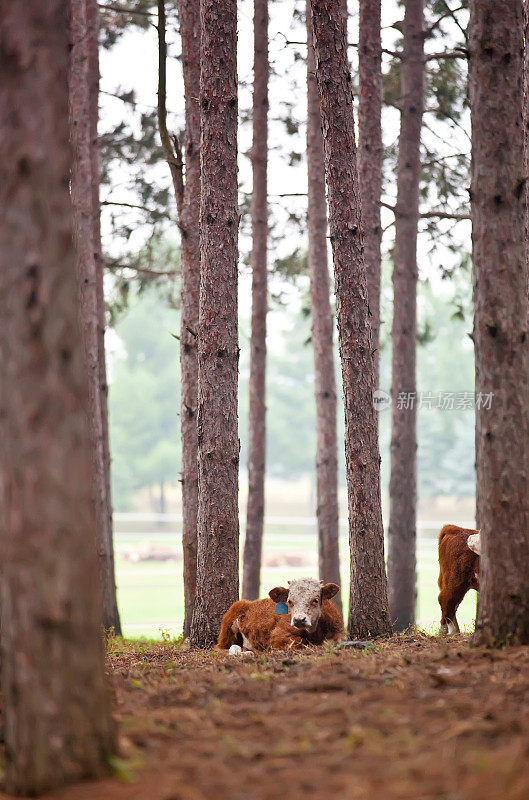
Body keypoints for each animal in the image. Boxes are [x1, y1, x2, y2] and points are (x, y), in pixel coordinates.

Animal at [214, 580, 342, 652]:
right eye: (289, 601)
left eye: (315, 600)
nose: (299, 620)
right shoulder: (278, 635)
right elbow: (298, 641)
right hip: (227, 632)